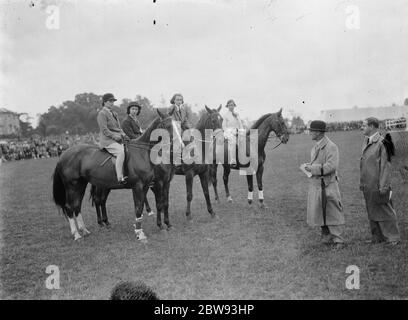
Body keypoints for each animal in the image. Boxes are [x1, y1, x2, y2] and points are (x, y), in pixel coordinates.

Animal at [51, 110, 182, 240]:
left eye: (178, 125)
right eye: (167, 126)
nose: (180, 146)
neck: (142, 153)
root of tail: (64, 154)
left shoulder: (152, 185)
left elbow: (160, 204)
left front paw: (163, 225)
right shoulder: (144, 185)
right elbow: (142, 207)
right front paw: (142, 232)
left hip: (82, 185)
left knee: (80, 205)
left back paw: (86, 230)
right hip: (72, 186)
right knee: (71, 206)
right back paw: (77, 234)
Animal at [89, 106, 223, 229]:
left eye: (221, 119)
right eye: (213, 120)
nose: (222, 138)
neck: (197, 147)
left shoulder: (203, 173)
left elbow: (206, 192)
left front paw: (212, 212)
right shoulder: (187, 175)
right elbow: (188, 195)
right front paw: (188, 216)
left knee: (103, 199)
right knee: (99, 199)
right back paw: (103, 222)